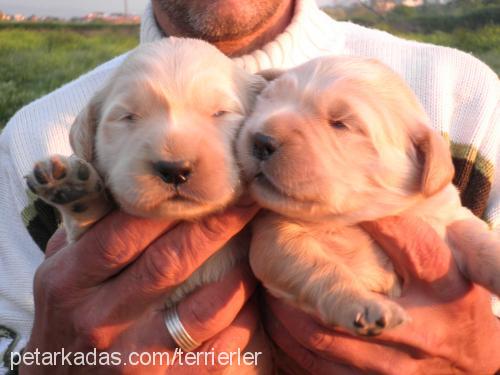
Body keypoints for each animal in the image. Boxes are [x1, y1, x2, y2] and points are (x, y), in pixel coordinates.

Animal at [235, 57, 500, 336]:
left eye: (340, 123)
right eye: (266, 100)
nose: (261, 141)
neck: (352, 218)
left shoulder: (447, 217)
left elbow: (479, 241)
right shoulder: (276, 236)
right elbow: (320, 268)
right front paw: (364, 305)